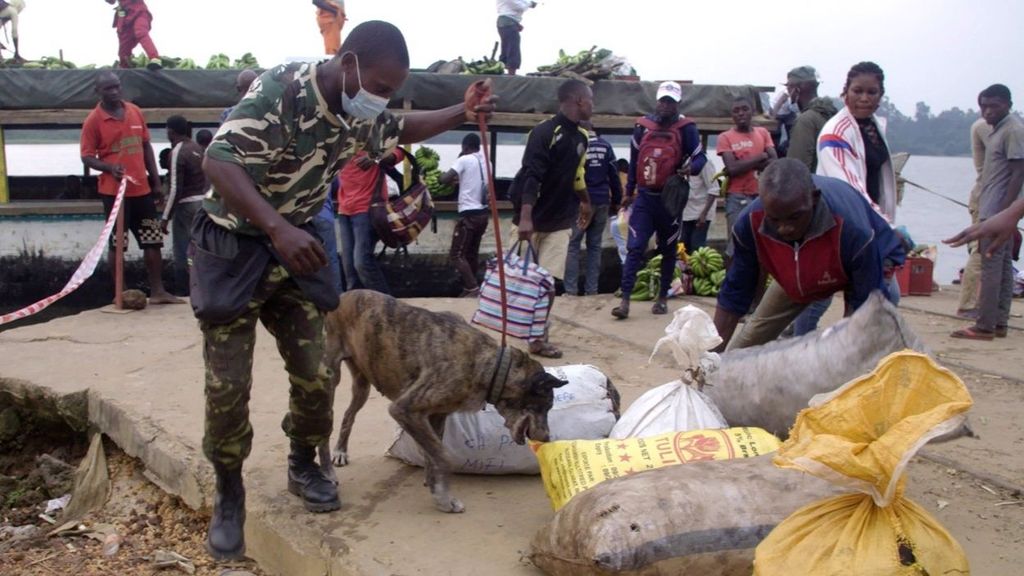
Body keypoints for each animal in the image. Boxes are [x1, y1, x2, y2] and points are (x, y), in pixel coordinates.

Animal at [321, 289, 569, 508]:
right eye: (545, 407)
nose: (547, 438)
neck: (492, 367)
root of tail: (343, 295)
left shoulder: (437, 415)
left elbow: (434, 453)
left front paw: (433, 484)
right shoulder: (404, 410)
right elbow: (442, 455)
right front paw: (443, 497)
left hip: (362, 384)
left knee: (348, 414)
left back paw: (340, 450)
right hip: (330, 379)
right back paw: (327, 471)